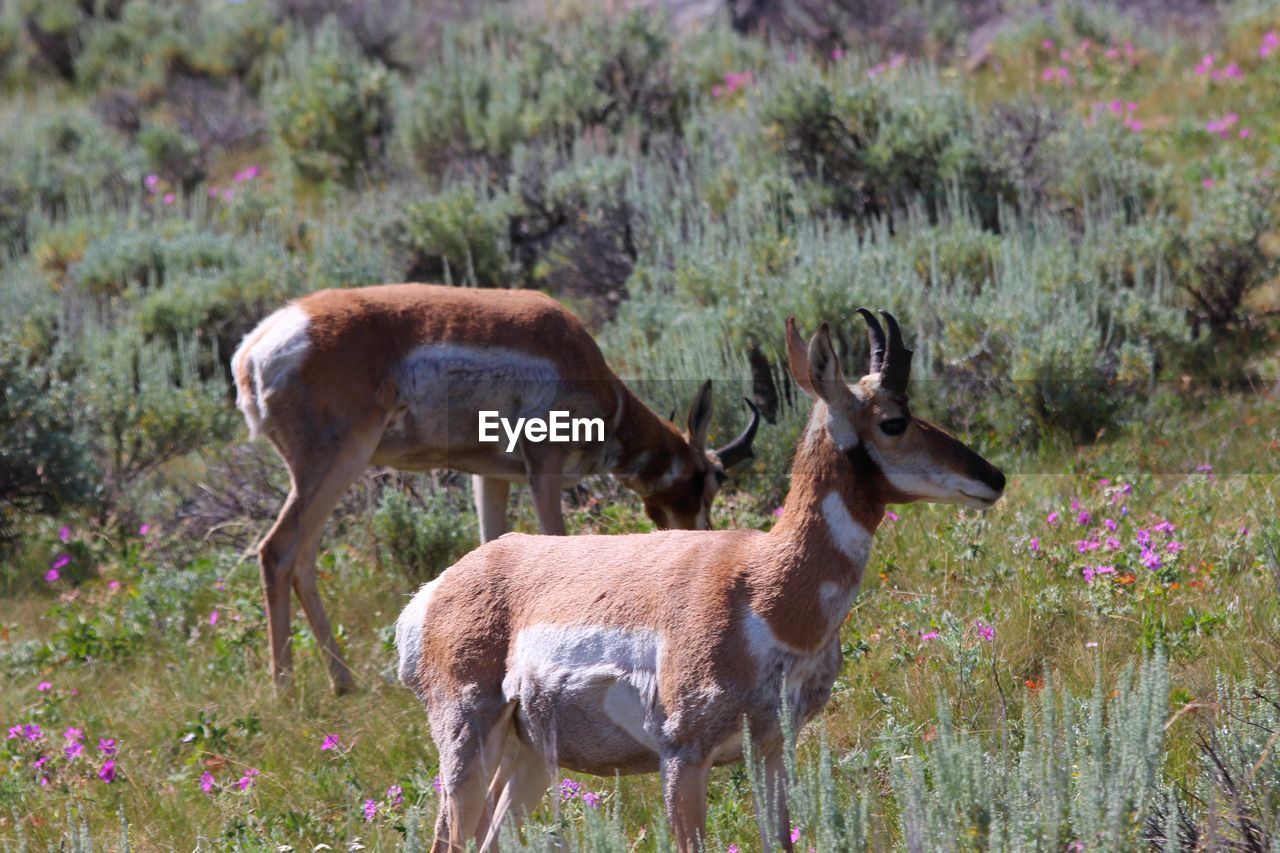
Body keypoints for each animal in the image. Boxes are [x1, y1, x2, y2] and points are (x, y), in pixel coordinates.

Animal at [231, 281, 757, 696]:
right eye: (710, 481)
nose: (705, 542)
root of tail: (255, 349)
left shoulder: (492, 477)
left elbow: (491, 549)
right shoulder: (543, 468)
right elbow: (555, 544)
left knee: (302, 558)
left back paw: (344, 683)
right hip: (339, 462)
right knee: (278, 551)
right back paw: (285, 689)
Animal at [394, 308, 1003, 845]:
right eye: (893, 421)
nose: (993, 477)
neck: (763, 586)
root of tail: (433, 592)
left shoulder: (772, 750)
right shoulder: (683, 758)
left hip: (530, 760)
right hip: (468, 744)